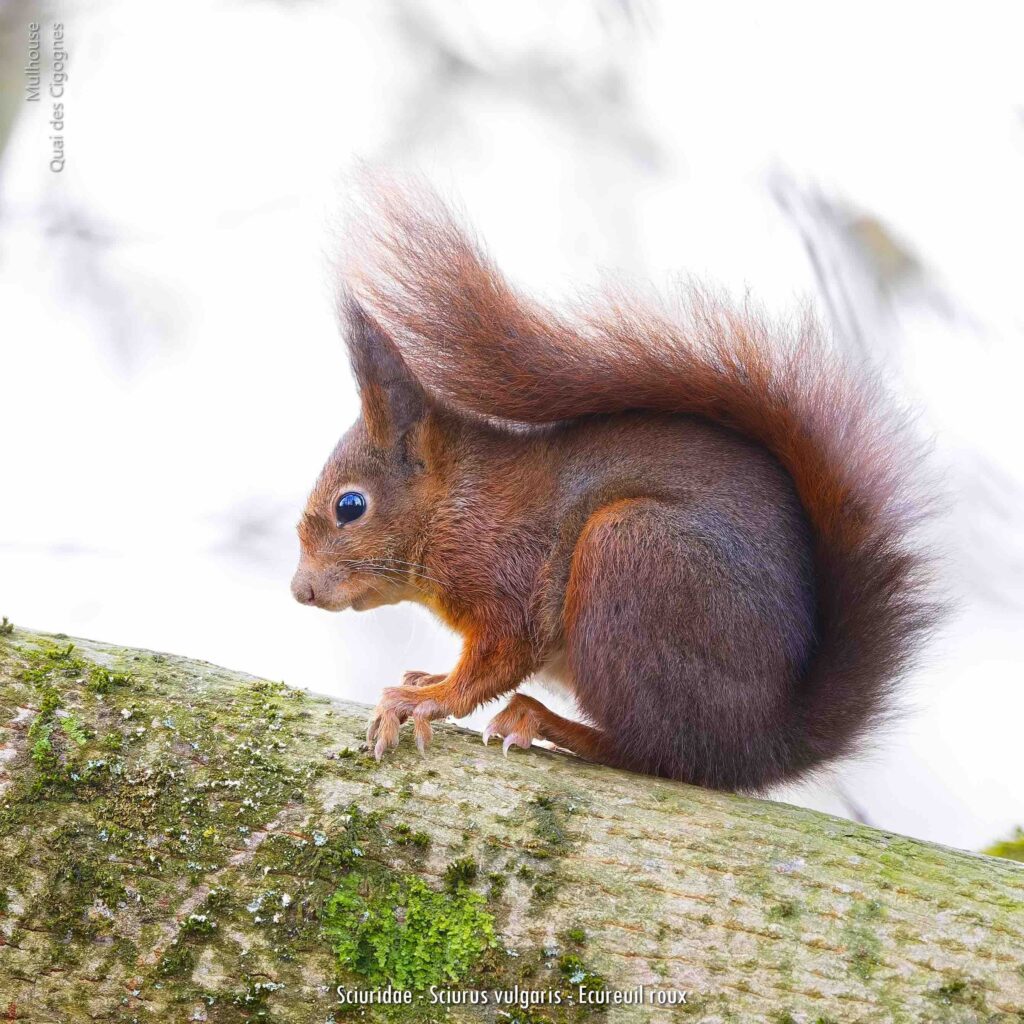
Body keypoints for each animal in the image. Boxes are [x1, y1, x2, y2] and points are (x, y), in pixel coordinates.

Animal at [288, 184, 937, 790]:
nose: (301, 592)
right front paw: (426, 679)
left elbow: (498, 658)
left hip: (629, 553)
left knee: (661, 754)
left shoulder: (509, 577)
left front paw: (426, 699)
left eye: (351, 506)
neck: (457, 501)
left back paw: (543, 720)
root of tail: (764, 742)